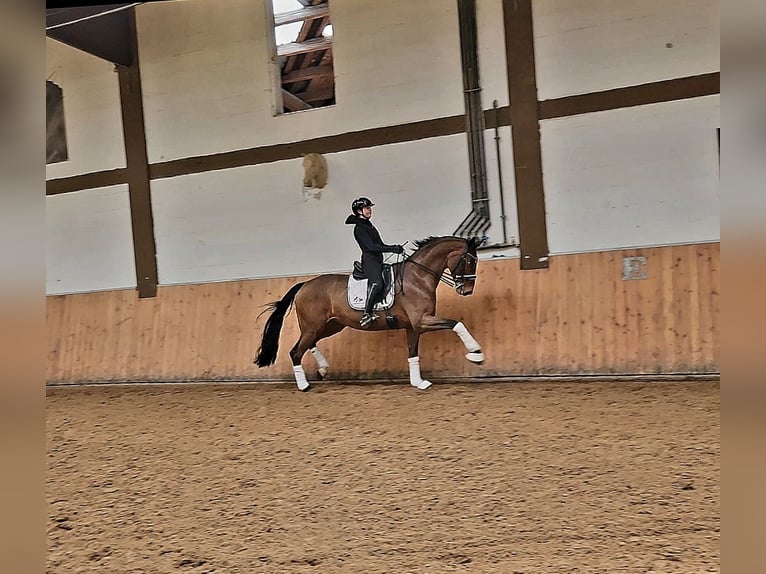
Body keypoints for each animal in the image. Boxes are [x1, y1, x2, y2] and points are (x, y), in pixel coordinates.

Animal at [258, 236, 486, 394]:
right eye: (469, 261)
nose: (467, 291)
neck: (418, 278)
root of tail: (305, 284)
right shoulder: (422, 321)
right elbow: (456, 324)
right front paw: (476, 354)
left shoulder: (413, 326)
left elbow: (413, 353)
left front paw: (419, 382)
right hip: (314, 326)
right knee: (295, 352)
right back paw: (304, 386)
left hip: (331, 325)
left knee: (309, 344)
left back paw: (322, 370)